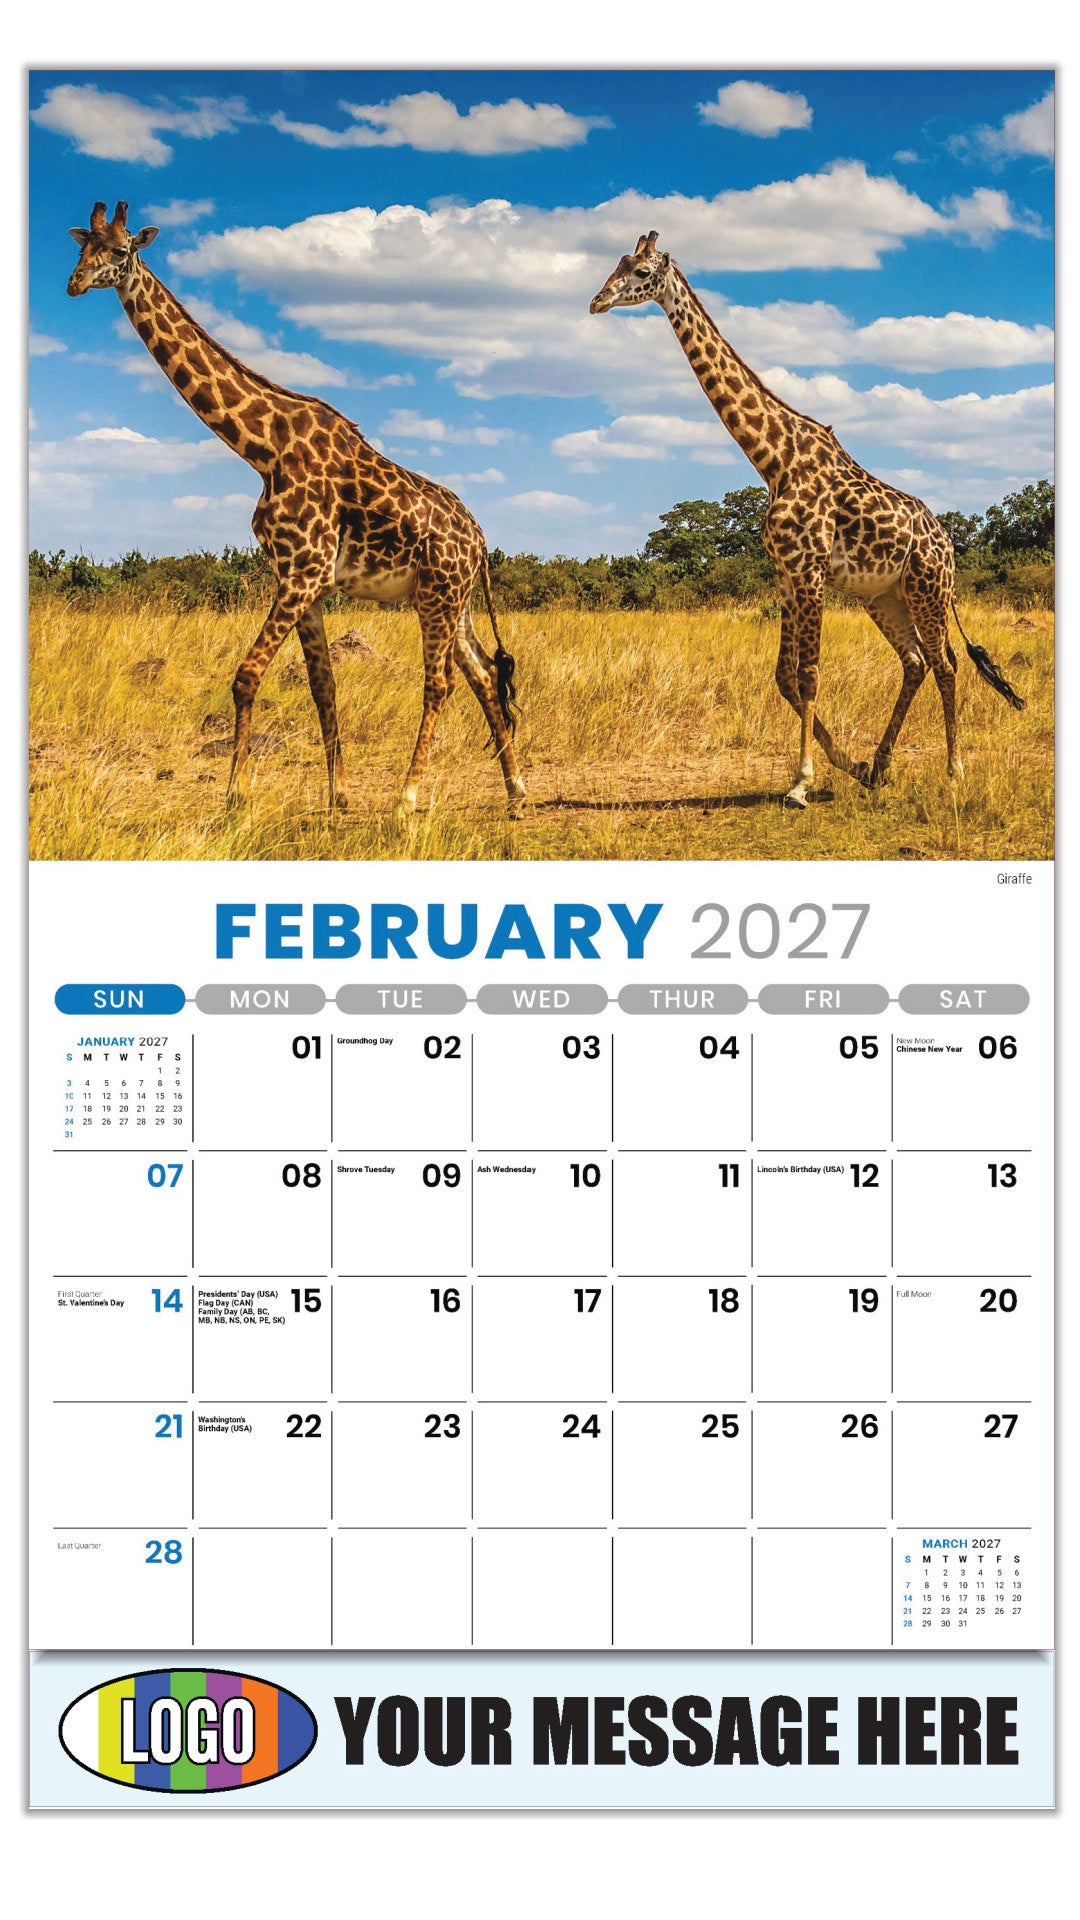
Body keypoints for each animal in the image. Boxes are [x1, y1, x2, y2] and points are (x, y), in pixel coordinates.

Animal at [67, 202, 526, 820]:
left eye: (119, 251)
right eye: (81, 247)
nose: (74, 284)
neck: (264, 448)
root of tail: (479, 541)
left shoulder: (304, 572)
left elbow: (246, 675)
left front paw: (235, 794)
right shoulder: (302, 580)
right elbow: (322, 684)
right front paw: (337, 794)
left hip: (438, 598)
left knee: (441, 683)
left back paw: (406, 798)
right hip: (455, 600)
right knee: (482, 674)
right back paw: (515, 790)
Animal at [590, 232, 1024, 808]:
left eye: (639, 271)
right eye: (617, 262)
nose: (596, 302)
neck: (774, 460)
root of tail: (949, 544)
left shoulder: (811, 570)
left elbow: (812, 674)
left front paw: (801, 782)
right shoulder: (787, 573)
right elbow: (784, 677)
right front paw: (850, 765)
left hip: (927, 589)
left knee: (945, 663)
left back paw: (952, 772)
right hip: (882, 597)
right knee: (915, 661)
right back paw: (879, 767)